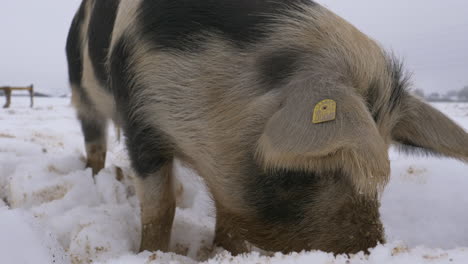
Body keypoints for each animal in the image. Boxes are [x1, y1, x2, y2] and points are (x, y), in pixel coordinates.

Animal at [66, 0, 468, 256]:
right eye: (304, 169)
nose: (367, 248)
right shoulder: (140, 121)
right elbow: (159, 207)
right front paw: (150, 252)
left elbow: (227, 221)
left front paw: (226, 253)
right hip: (81, 94)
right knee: (95, 142)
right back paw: (96, 177)